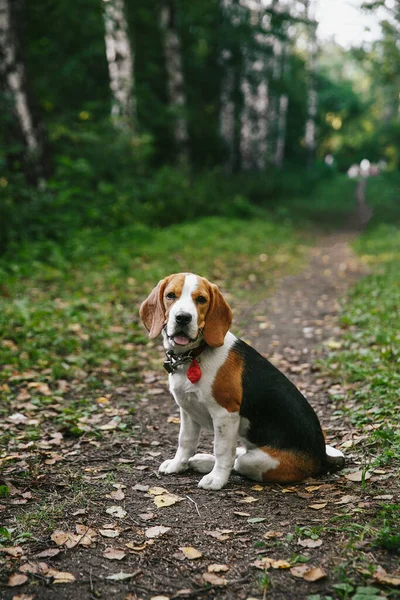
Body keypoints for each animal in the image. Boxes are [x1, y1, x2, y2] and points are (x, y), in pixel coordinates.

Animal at [140, 274, 344, 490]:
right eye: (171, 295)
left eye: (201, 299)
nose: (183, 318)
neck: (193, 355)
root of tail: (322, 458)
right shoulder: (187, 410)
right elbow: (185, 441)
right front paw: (178, 465)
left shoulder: (225, 413)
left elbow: (222, 450)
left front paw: (217, 479)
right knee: (238, 454)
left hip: (259, 462)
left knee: (237, 461)